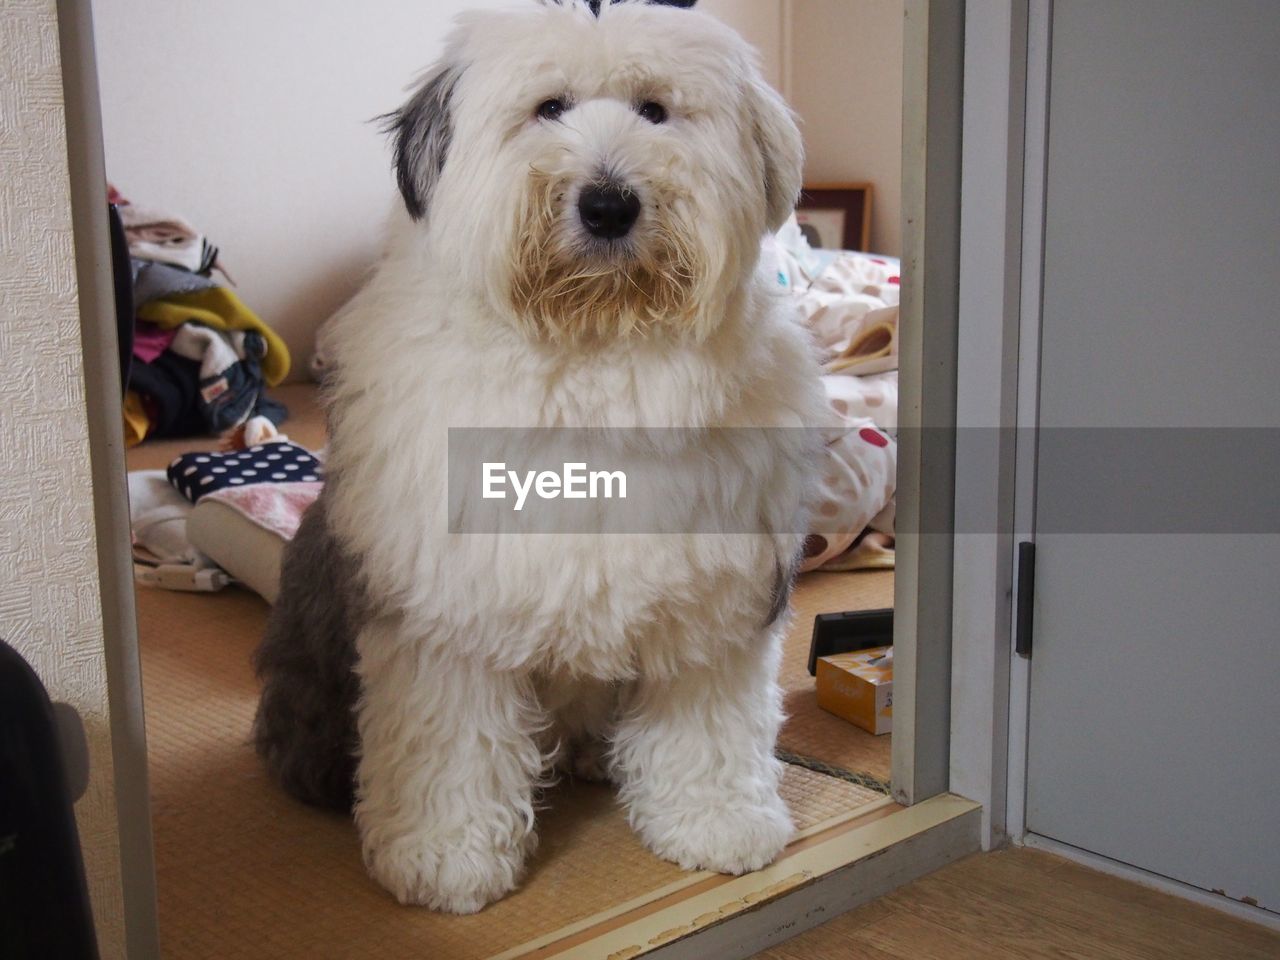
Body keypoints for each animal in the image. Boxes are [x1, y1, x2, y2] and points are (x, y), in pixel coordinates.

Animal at [254, 0, 824, 911]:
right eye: (549, 107)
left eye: (655, 111)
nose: (608, 203)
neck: (591, 352)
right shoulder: (446, 614)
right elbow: (450, 743)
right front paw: (444, 857)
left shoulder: (713, 600)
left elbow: (708, 723)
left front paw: (718, 824)